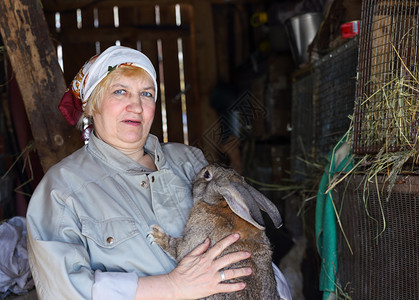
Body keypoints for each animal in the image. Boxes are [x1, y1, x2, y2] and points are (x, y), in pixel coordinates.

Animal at [153, 165, 284, 298]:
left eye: (207, 174)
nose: (194, 178)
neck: (220, 204)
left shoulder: (193, 242)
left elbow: (175, 248)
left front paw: (156, 234)